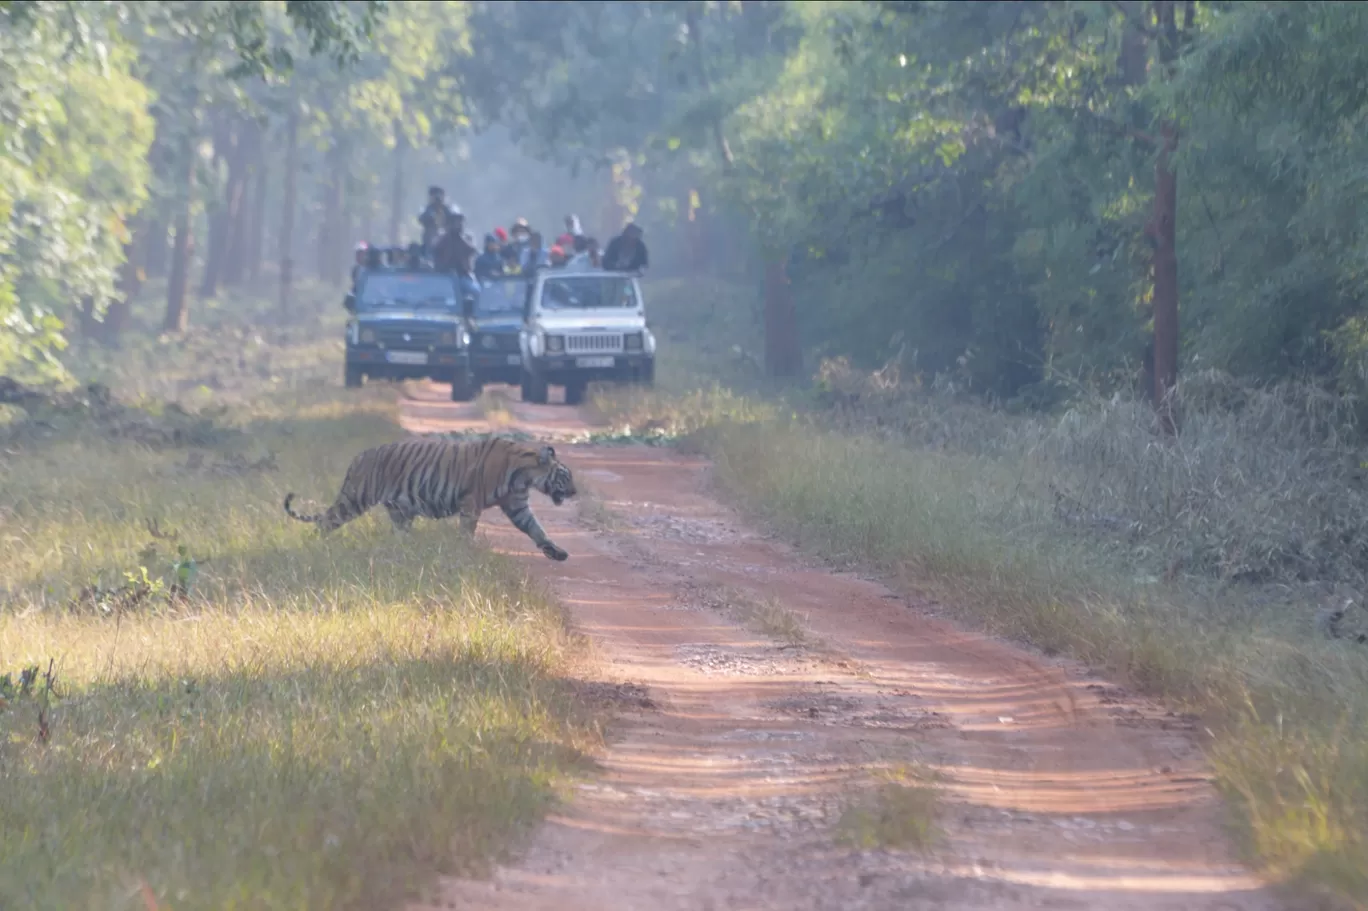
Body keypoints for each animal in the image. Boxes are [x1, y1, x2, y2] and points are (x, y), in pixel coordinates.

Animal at [280, 434, 574, 558]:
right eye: (565, 476)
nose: (575, 491)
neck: (525, 475)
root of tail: (358, 457)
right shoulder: (471, 503)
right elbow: (467, 530)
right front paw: (465, 551)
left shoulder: (517, 505)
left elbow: (536, 529)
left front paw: (556, 552)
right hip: (354, 499)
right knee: (325, 521)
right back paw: (316, 546)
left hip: (400, 512)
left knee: (398, 536)